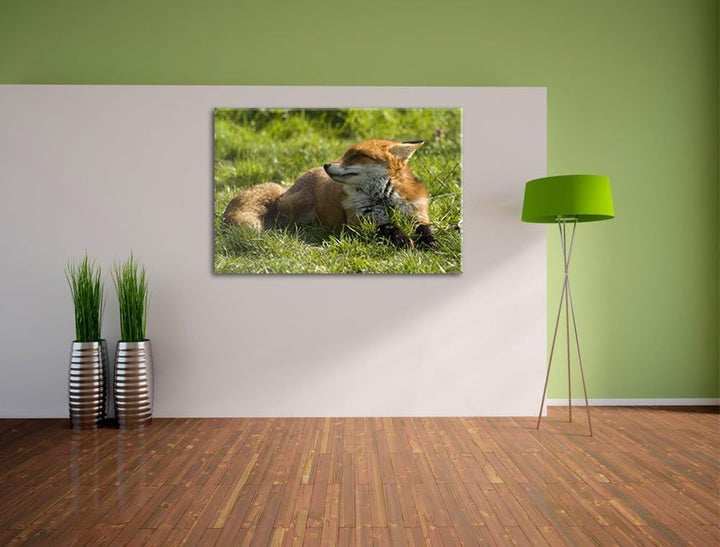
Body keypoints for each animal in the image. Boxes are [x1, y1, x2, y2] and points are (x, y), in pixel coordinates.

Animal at [221, 139, 438, 248]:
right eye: (345, 154)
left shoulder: (416, 212)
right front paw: (402, 239)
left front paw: (430, 242)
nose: (326, 165)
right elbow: (388, 227)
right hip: (297, 208)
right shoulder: (360, 221)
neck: (383, 199)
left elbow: (424, 229)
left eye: (356, 155)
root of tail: (290, 185)